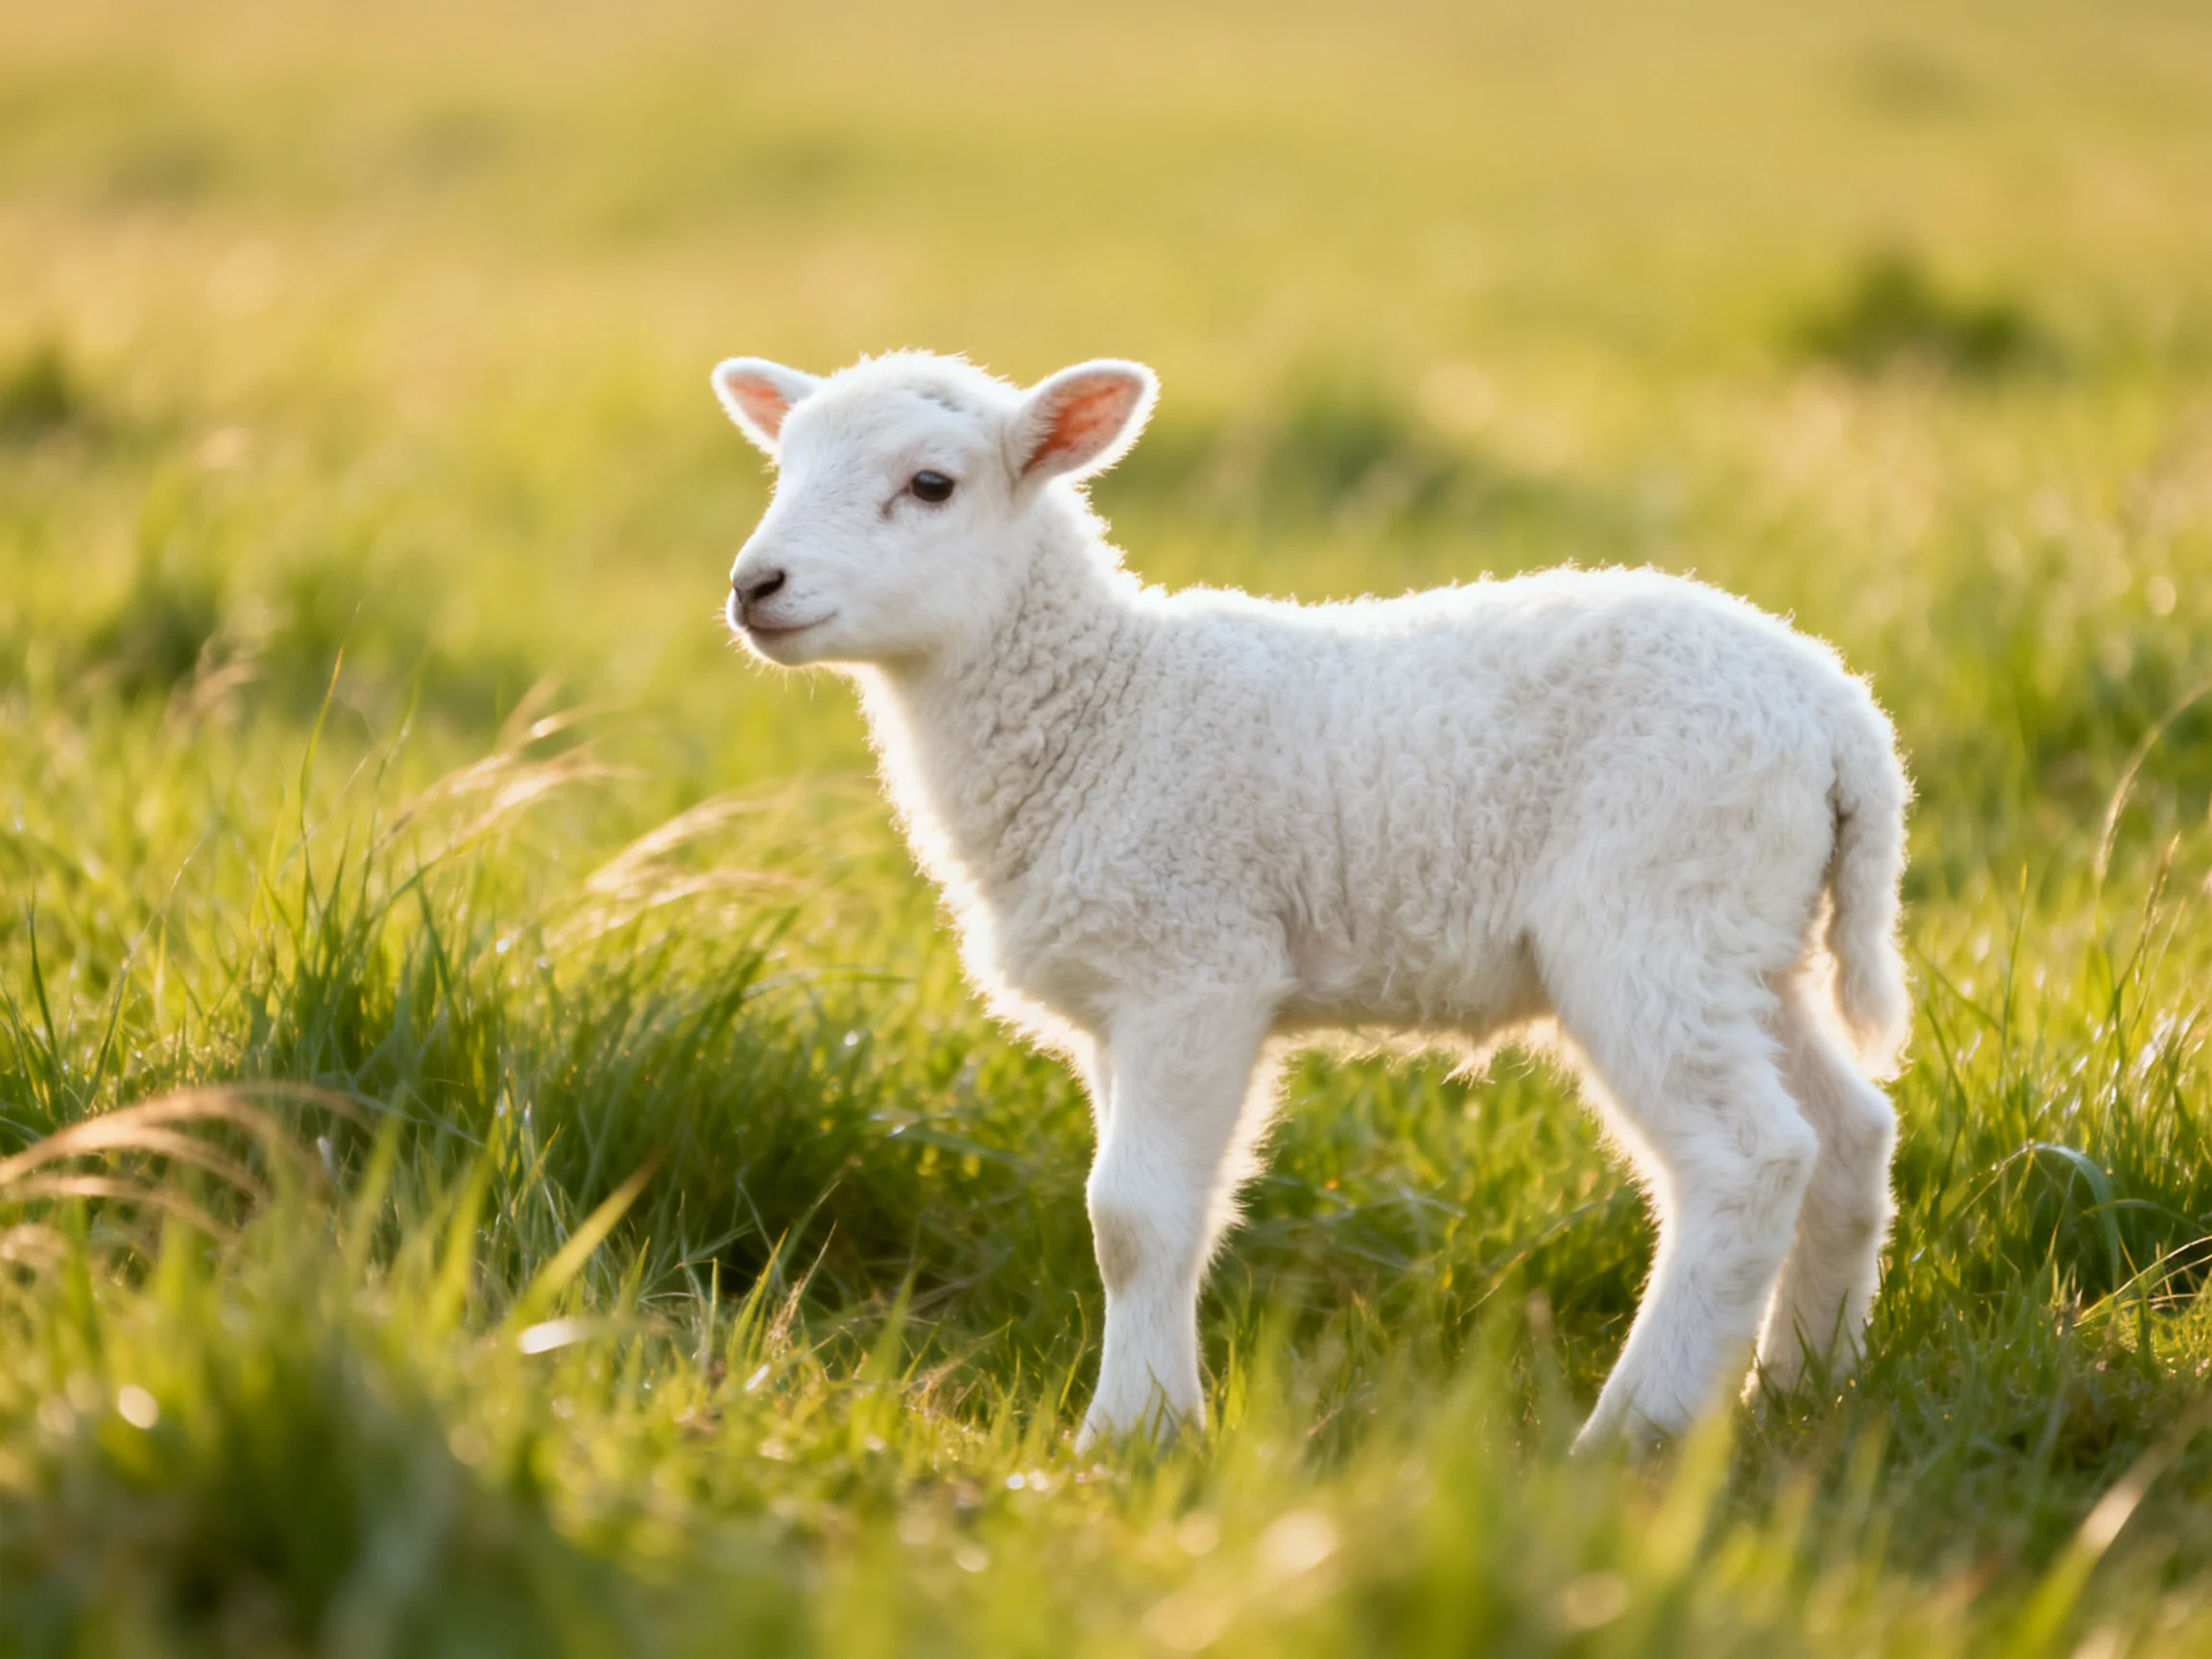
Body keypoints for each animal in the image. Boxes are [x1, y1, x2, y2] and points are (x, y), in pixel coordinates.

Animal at [709, 349, 1912, 1450]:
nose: (754, 587)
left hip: (1653, 915)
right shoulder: (1117, 1000)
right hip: (1749, 938)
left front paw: (1129, 1439)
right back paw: (1802, 1390)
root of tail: (1838, 712)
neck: (1103, 709)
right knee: (1848, 1134)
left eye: (931, 485)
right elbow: (1147, 1214)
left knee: (1752, 1160)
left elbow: (1132, 1219)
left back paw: (1634, 1435)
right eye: (784, 464)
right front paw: (1163, 1415)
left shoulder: (1197, 966)